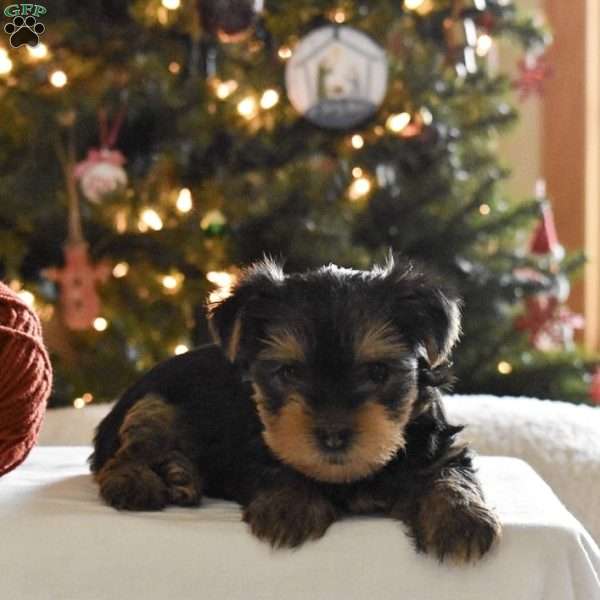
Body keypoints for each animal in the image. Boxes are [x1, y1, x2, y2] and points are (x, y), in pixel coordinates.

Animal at [90, 256, 502, 564]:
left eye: (377, 372)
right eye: (289, 372)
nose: (333, 435)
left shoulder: (436, 443)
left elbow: (449, 471)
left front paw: (461, 518)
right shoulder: (253, 450)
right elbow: (276, 466)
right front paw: (289, 507)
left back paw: (181, 475)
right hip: (154, 404)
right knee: (129, 451)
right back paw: (136, 481)